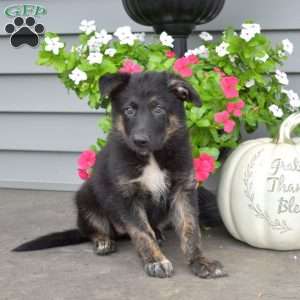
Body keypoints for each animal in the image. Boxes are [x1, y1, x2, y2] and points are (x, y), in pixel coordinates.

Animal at [13, 72, 225, 278]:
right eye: (129, 110)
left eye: (158, 109)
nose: (139, 140)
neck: (152, 156)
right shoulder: (127, 196)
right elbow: (142, 232)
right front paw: (155, 260)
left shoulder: (183, 189)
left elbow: (190, 229)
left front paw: (200, 261)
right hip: (86, 197)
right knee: (91, 229)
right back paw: (103, 241)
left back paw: (157, 233)